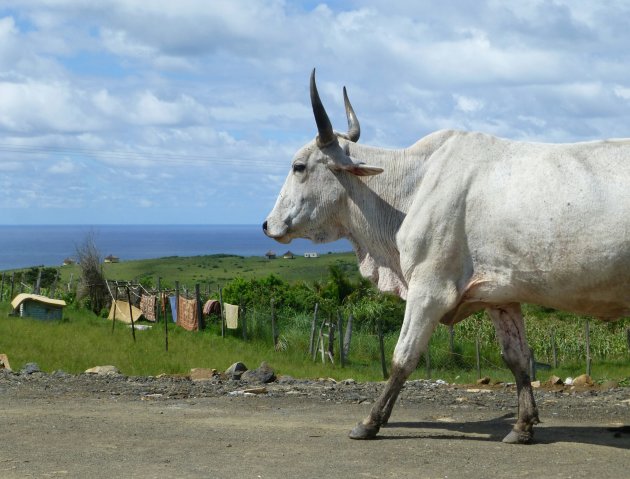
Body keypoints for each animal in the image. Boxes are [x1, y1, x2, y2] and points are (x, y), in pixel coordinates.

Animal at [262, 69, 630, 444]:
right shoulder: (500, 295)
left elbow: (403, 356)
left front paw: (370, 421)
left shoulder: (430, 288)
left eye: (299, 166)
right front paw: (523, 425)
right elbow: (517, 358)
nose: (267, 224)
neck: (414, 185)